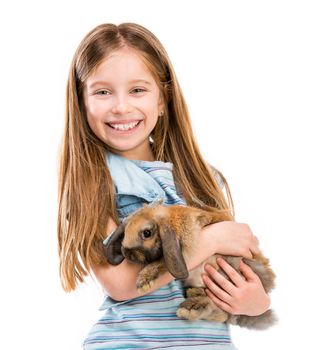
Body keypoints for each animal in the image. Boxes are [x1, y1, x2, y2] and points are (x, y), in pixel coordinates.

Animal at [103, 201, 278, 330]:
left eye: (147, 233)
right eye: (125, 232)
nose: (127, 253)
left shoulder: (185, 252)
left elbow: (159, 263)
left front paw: (143, 282)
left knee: (220, 308)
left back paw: (191, 307)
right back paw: (193, 298)